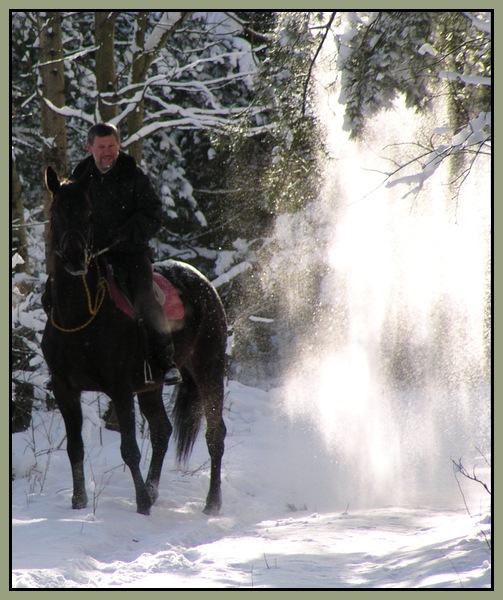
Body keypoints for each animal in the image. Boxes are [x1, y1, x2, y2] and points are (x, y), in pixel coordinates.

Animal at [41, 168, 226, 516]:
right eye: (55, 210)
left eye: (88, 213)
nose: (74, 258)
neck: (78, 316)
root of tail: (203, 281)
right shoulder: (64, 389)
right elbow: (75, 447)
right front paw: (78, 502)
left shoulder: (119, 388)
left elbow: (128, 449)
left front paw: (140, 504)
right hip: (151, 385)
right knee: (162, 431)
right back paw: (153, 490)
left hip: (209, 368)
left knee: (215, 434)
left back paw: (212, 503)